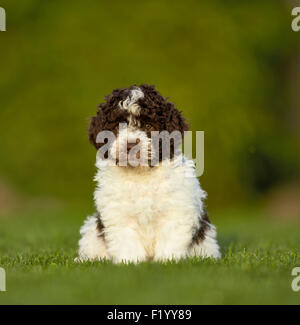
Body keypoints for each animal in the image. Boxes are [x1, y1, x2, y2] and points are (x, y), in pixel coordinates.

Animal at [76, 84, 221, 264]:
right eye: (116, 127)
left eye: (148, 127)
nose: (131, 145)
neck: (141, 174)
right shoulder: (118, 214)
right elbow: (126, 241)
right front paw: (130, 263)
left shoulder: (175, 211)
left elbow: (170, 241)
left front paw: (167, 261)